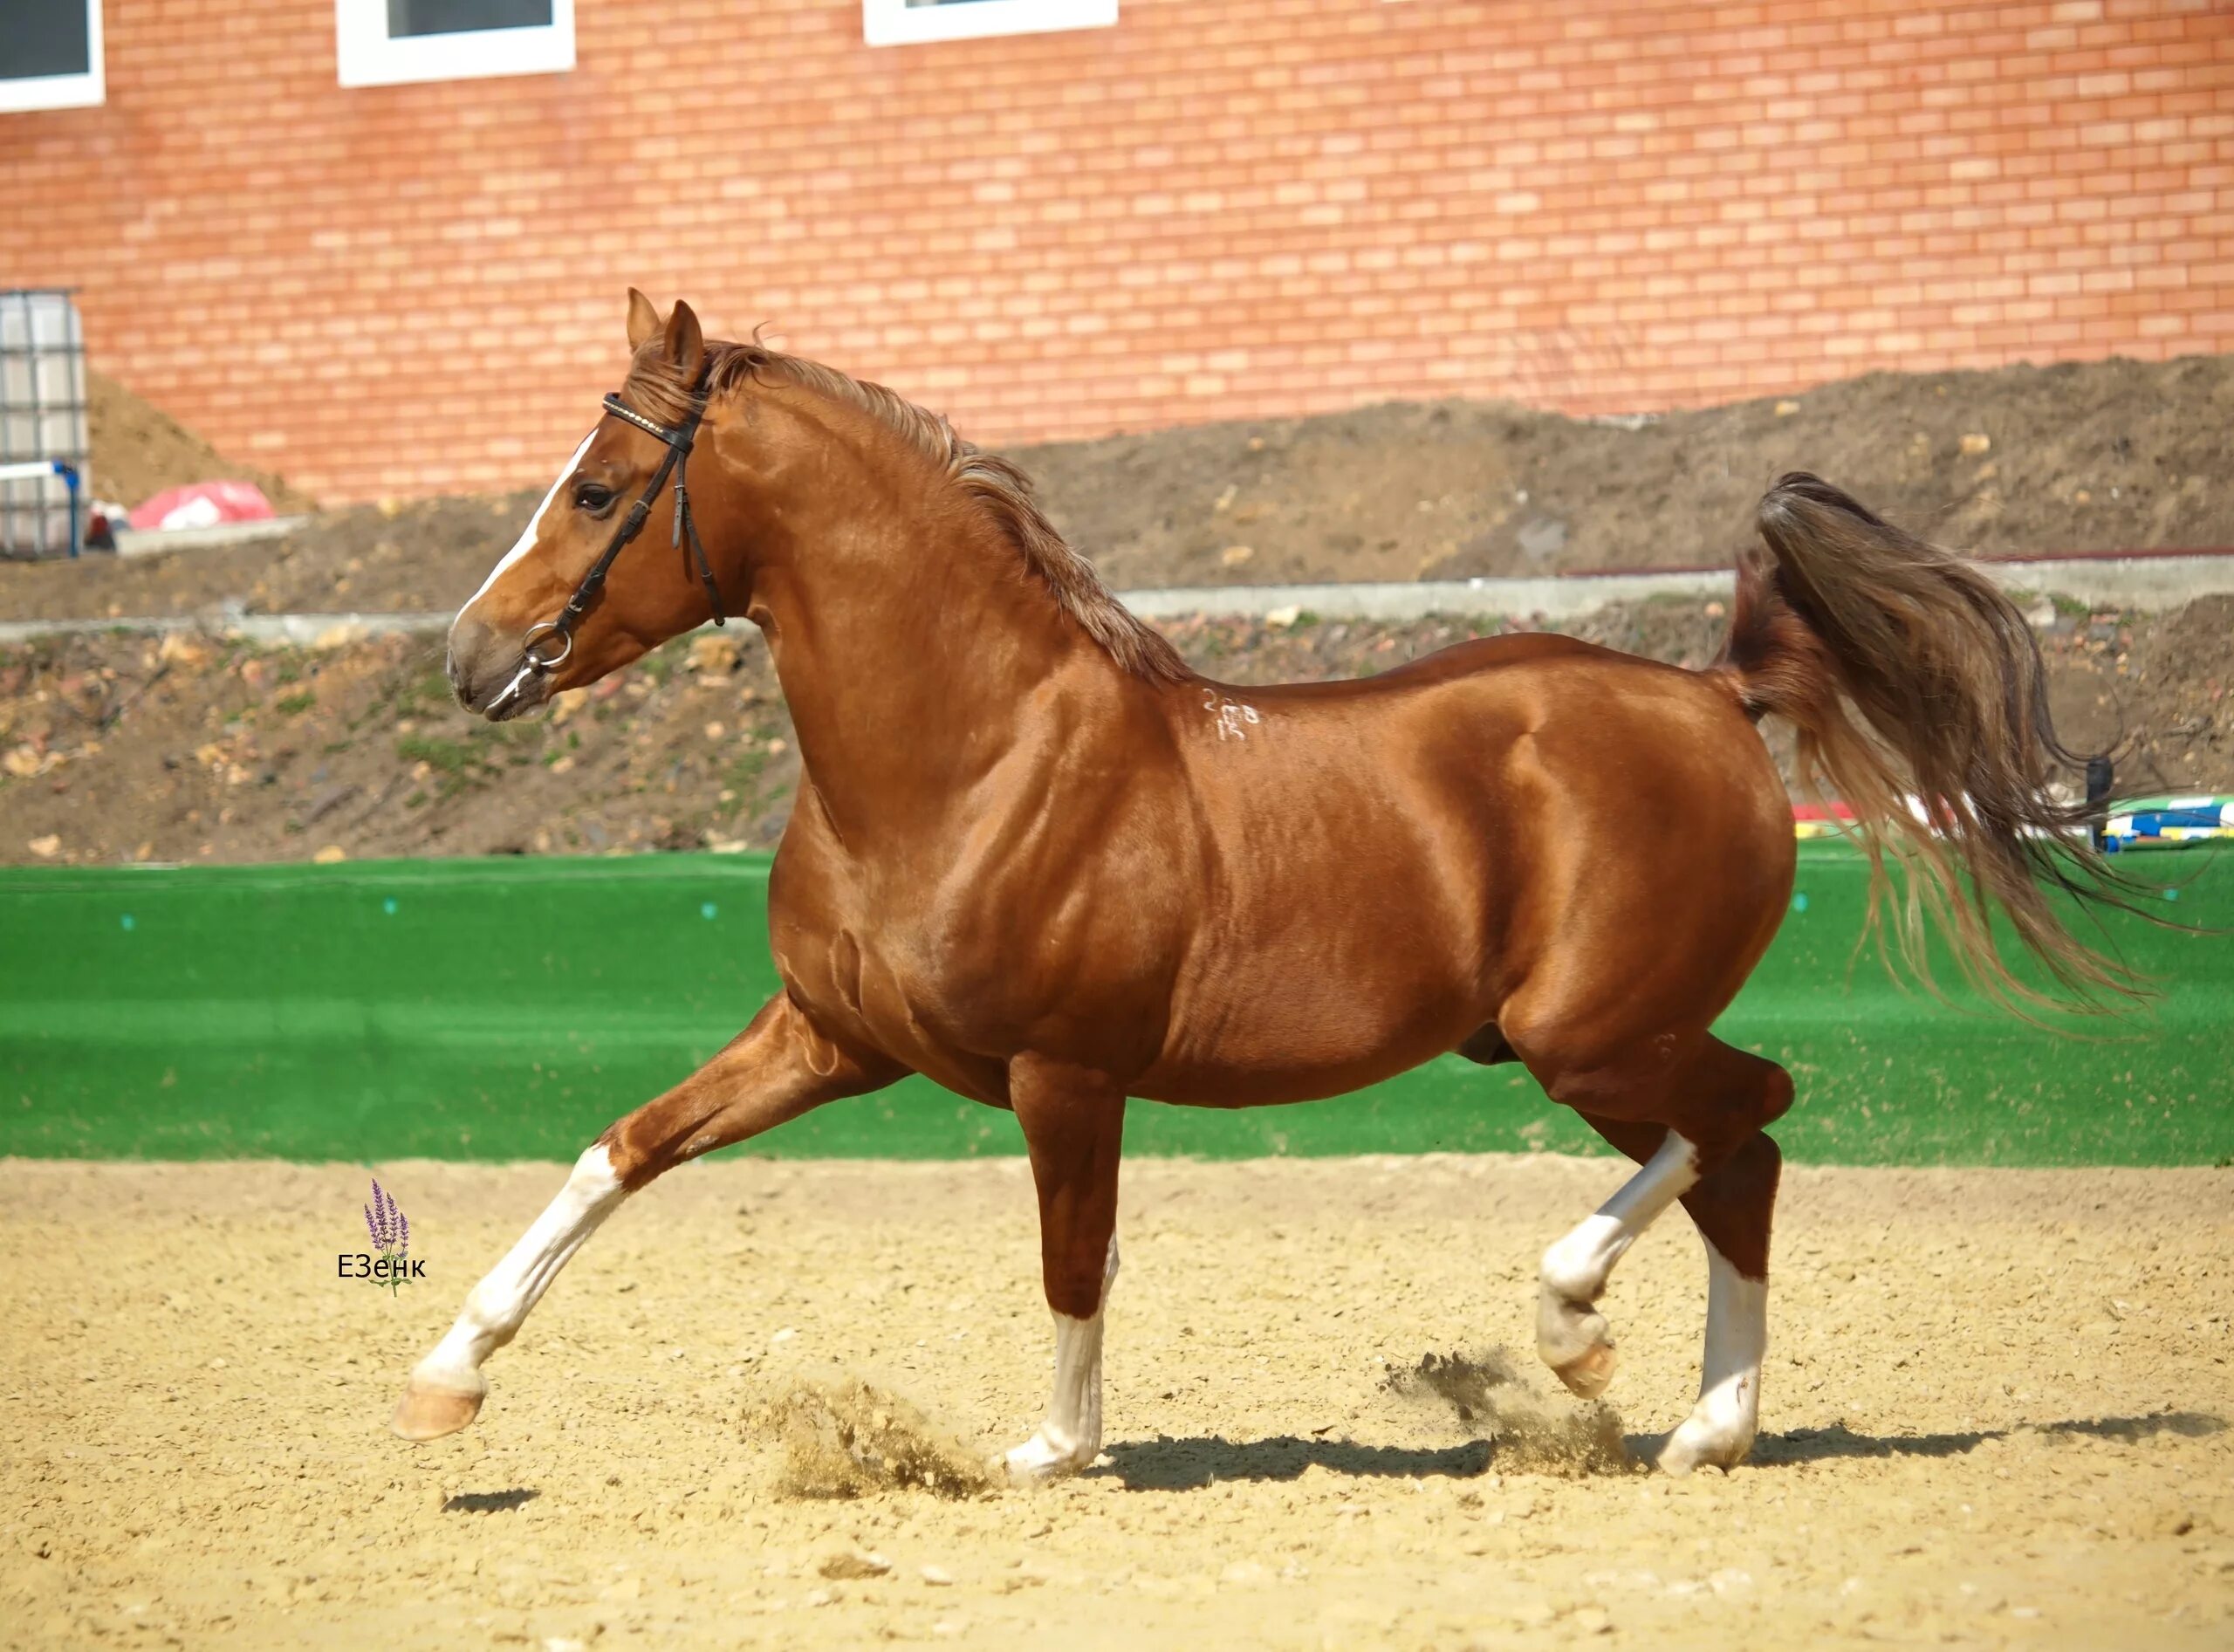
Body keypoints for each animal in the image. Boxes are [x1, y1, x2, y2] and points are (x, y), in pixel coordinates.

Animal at [397, 291, 2127, 1475]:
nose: (471, 657)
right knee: (1741, 1157)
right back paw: (1705, 1426)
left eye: (601, 490)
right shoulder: (830, 1038)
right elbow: (621, 1150)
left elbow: (1070, 1255)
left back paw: (1576, 1330)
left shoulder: (1065, 1073)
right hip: (1590, 1048)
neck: (969, 763)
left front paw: (1054, 1450)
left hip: (1593, 1035)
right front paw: (447, 1372)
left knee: (1753, 1111)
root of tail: (1714, 693)